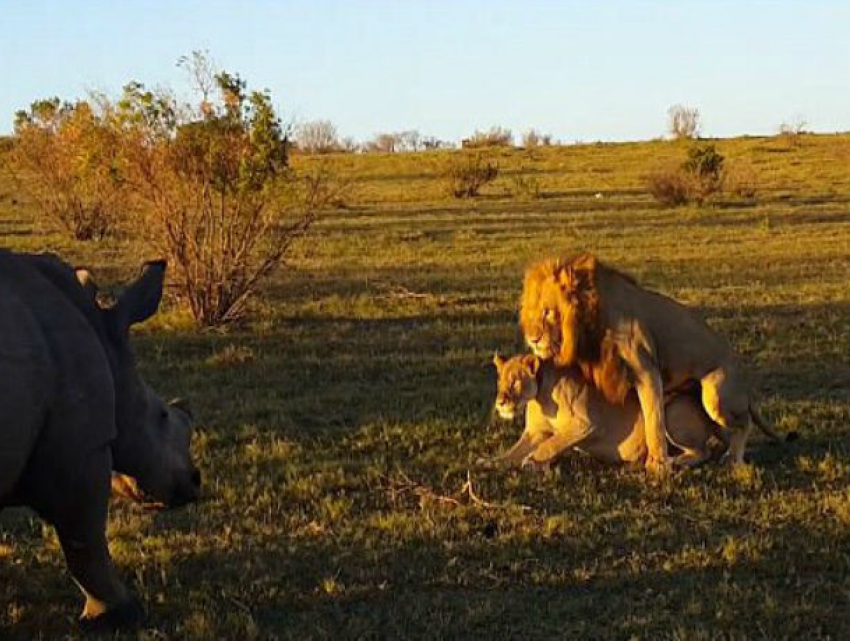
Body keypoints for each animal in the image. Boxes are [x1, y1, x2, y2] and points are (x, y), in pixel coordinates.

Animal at [484, 352, 724, 468]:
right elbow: (512, 452)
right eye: (500, 381)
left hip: (672, 412)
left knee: (704, 452)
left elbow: (551, 444)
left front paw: (532, 461)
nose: (500, 402)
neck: (539, 398)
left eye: (515, 381)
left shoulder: (585, 424)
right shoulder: (535, 432)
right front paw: (490, 463)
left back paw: (674, 461)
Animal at [516, 254, 788, 470]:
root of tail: (746, 383)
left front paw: (657, 465)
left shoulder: (646, 370)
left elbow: (653, 419)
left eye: (548, 312)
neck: (591, 324)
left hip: (715, 394)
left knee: (743, 423)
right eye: (533, 311)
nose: (532, 339)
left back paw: (731, 459)